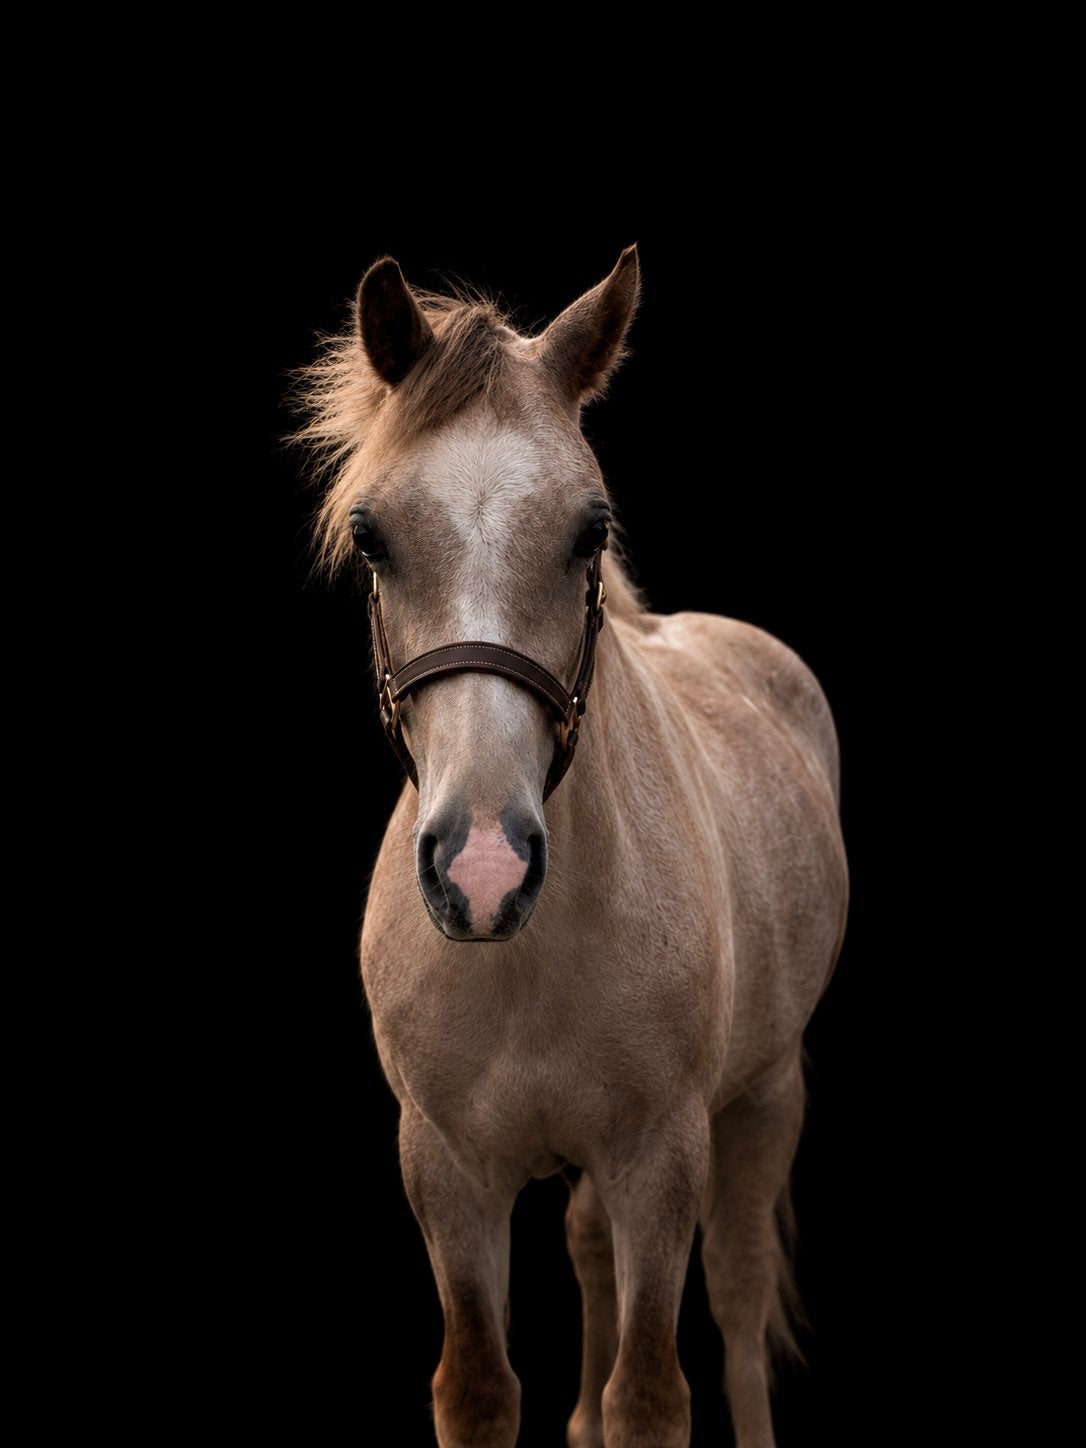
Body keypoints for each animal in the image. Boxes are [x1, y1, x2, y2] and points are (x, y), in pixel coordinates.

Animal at [298, 246, 848, 1448]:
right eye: (371, 536)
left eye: (591, 531)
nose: (483, 871)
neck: (528, 956)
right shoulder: (445, 1168)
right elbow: (478, 1385)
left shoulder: (661, 1157)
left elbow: (652, 1390)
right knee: (591, 1250)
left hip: (765, 1094)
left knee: (739, 1303)